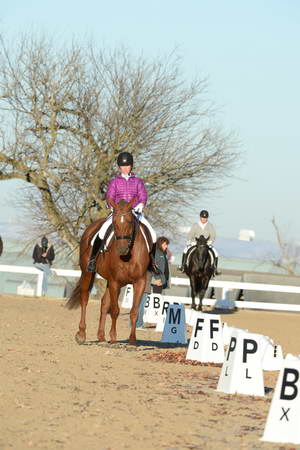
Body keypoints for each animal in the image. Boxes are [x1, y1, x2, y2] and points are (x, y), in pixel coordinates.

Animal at [66, 198, 150, 344]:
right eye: (114, 223)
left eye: (130, 221)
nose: (122, 249)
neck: (128, 256)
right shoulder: (115, 281)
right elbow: (115, 310)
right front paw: (114, 337)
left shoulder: (139, 282)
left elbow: (134, 312)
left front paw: (132, 340)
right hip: (88, 273)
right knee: (84, 299)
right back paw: (81, 334)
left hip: (109, 282)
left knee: (104, 303)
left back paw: (101, 336)